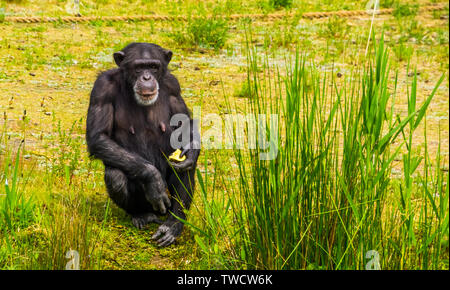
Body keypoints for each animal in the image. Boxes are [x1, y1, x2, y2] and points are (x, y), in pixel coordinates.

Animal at [87, 42, 200, 247]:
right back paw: (141, 215)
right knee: (115, 176)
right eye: (139, 67)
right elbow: (98, 136)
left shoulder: (173, 86)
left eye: (153, 66)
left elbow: (184, 124)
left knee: (186, 168)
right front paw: (153, 179)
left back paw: (173, 225)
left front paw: (193, 151)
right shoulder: (101, 88)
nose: (147, 77)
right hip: (151, 205)